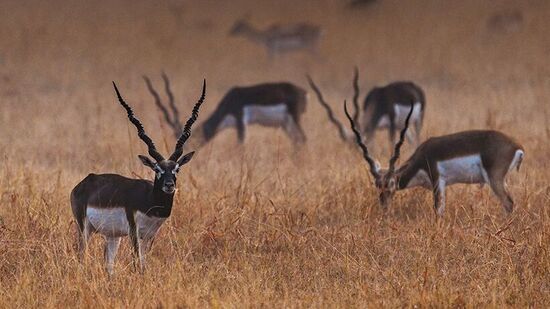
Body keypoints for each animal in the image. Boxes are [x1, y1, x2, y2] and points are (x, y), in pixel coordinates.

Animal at [70, 80, 206, 274]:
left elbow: (144, 264)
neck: (150, 202)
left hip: (113, 236)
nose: (169, 185)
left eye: (177, 169)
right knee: (81, 256)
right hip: (84, 228)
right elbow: (136, 263)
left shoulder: (150, 236)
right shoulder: (134, 232)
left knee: (109, 265)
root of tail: (84, 183)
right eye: (157, 169)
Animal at [344, 100, 528, 215]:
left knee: (509, 203)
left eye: (391, 183)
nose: (384, 206)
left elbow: (438, 210)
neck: (421, 159)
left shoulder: (437, 181)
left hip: (495, 179)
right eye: (377, 184)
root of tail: (517, 146)